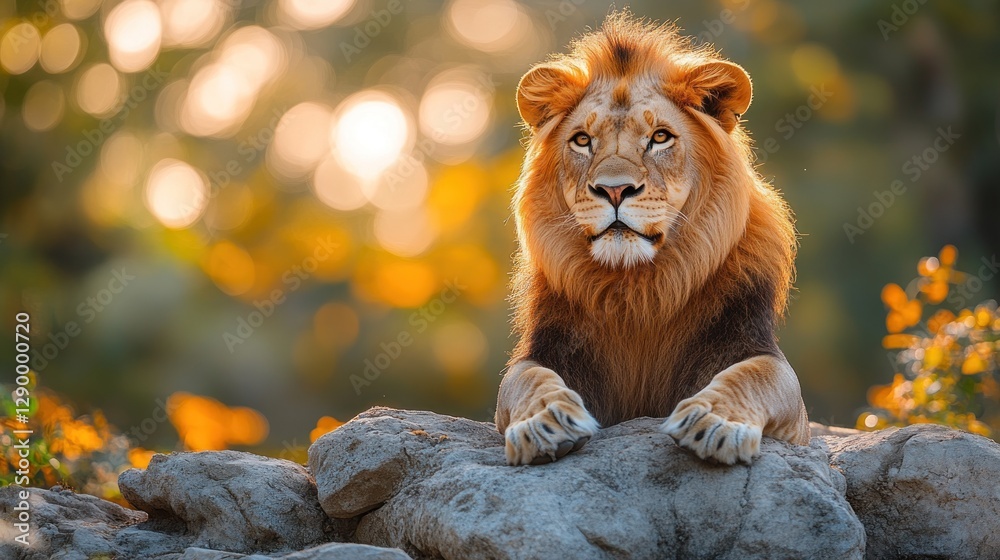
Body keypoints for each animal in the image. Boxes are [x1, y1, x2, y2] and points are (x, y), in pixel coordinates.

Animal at [494, 13, 810, 466]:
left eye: (660, 137)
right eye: (582, 140)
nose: (614, 190)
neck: (638, 288)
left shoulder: (756, 353)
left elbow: (753, 375)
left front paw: (715, 422)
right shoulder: (549, 351)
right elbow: (527, 379)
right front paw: (544, 422)